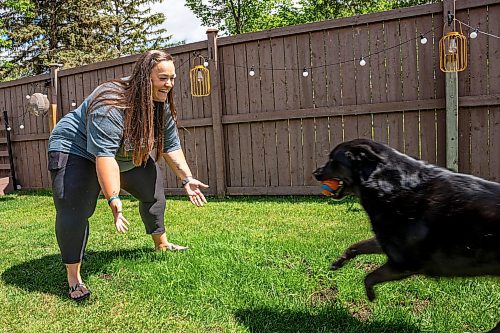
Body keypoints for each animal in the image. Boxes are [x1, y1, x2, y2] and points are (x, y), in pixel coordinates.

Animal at [314, 137, 498, 332]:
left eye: (332, 160)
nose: (315, 173)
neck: (388, 184)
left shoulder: (403, 264)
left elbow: (369, 277)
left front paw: (370, 296)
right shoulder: (386, 241)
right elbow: (356, 246)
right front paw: (339, 261)